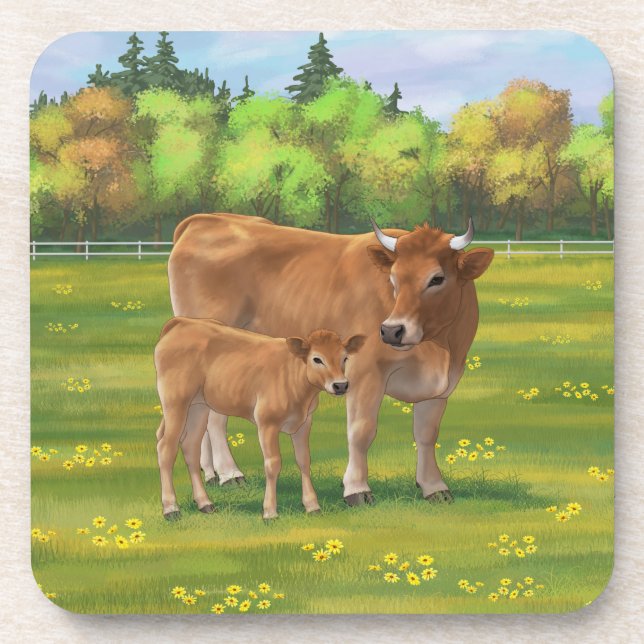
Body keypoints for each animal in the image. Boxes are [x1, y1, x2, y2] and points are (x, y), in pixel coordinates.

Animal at [154, 317, 365, 520]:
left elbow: (304, 460)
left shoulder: (304, 422)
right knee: (166, 447)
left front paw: (312, 506)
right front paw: (270, 512)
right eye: (317, 359)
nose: (341, 385)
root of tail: (182, 322)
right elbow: (273, 464)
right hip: (176, 402)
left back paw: (205, 504)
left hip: (198, 406)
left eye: (345, 358)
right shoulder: (266, 422)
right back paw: (171, 509)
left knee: (190, 446)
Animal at [168, 213, 493, 506]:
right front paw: (357, 489)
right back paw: (229, 474)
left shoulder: (441, 385)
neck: (438, 351)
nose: (391, 330)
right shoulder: (364, 373)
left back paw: (211, 474)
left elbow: (426, 434)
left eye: (437, 278)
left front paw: (434, 487)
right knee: (216, 418)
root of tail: (206, 220)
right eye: (393, 279)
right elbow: (361, 431)